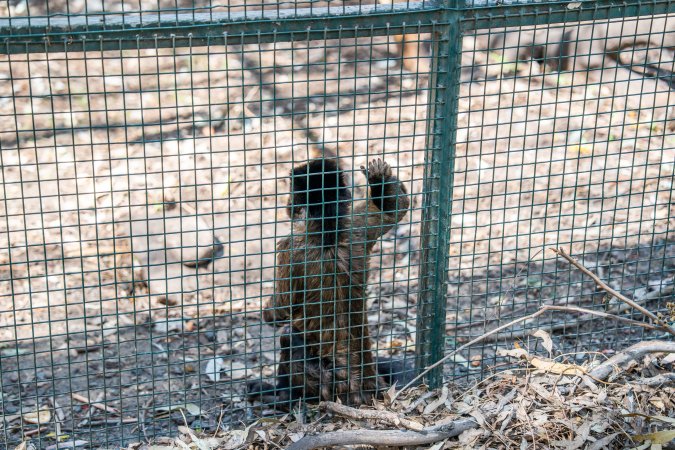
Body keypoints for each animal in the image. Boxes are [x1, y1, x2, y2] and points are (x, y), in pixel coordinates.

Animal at [247, 158, 412, 409]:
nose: (288, 204)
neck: (329, 232)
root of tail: (365, 386)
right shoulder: (353, 227)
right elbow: (397, 210)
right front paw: (379, 181)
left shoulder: (291, 247)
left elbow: (282, 312)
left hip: (323, 381)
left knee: (289, 335)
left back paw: (282, 397)